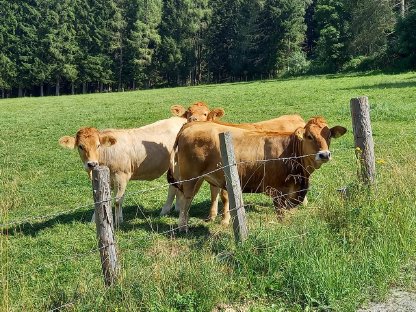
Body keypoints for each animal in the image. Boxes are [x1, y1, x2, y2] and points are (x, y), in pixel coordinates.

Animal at [58, 102, 224, 227]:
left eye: (98, 145)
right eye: (80, 146)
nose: (91, 164)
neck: (107, 154)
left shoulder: (121, 176)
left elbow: (118, 200)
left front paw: (118, 221)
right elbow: (101, 199)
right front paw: (95, 220)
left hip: (179, 165)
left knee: (175, 186)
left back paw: (168, 209)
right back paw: (176, 207)